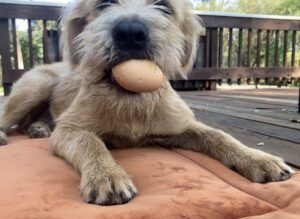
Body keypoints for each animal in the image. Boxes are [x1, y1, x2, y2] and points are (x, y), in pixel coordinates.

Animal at [0, 0, 294, 205]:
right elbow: (90, 142)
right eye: (104, 3)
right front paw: (107, 175)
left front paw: (257, 158)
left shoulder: (181, 126)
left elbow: (219, 135)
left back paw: (38, 127)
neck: (131, 100)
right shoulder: (70, 128)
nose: (130, 32)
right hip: (35, 86)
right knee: (8, 117)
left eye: (163, 6)